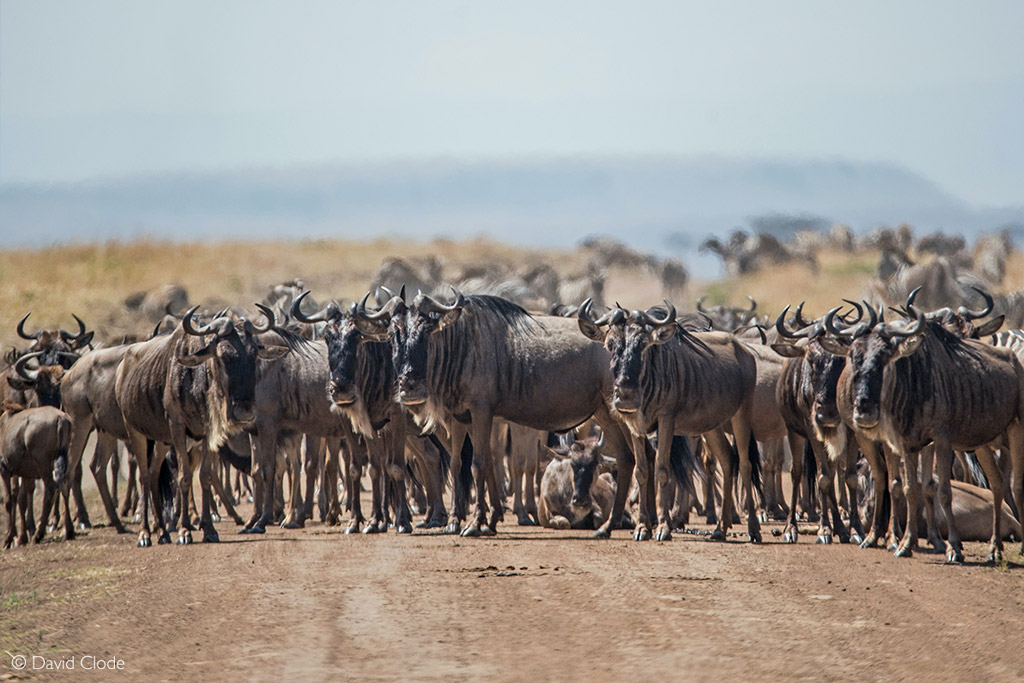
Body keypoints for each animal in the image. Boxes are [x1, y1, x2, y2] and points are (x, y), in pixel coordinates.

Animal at [1, 403, 71, 548]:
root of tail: (60, 418)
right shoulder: (27, 473)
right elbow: (22, 500)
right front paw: (21, 537)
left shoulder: (4, 469)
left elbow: (8, 500)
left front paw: (9, 538)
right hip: (62, 459)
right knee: (64, 485)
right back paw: (68, 531)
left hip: (43, 465)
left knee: (50, 489)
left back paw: (38, 535)